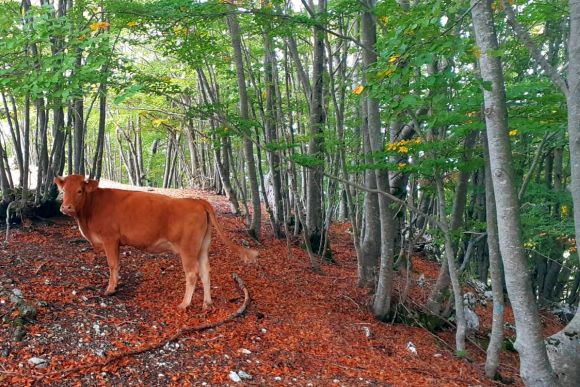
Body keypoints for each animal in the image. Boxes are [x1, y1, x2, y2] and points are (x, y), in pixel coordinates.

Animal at [54, 176, 258, 312]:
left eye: (80, 190)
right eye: (63, 191)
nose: (66, 207)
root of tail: (197, 201)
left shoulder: (109, 238)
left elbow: (112, 264)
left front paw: (110, 289)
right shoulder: (116, 242)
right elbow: (118, 264)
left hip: (188, 248)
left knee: (192, 273)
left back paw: (184, 304)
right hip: (203, 247)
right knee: (206, 272)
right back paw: (207, 303)